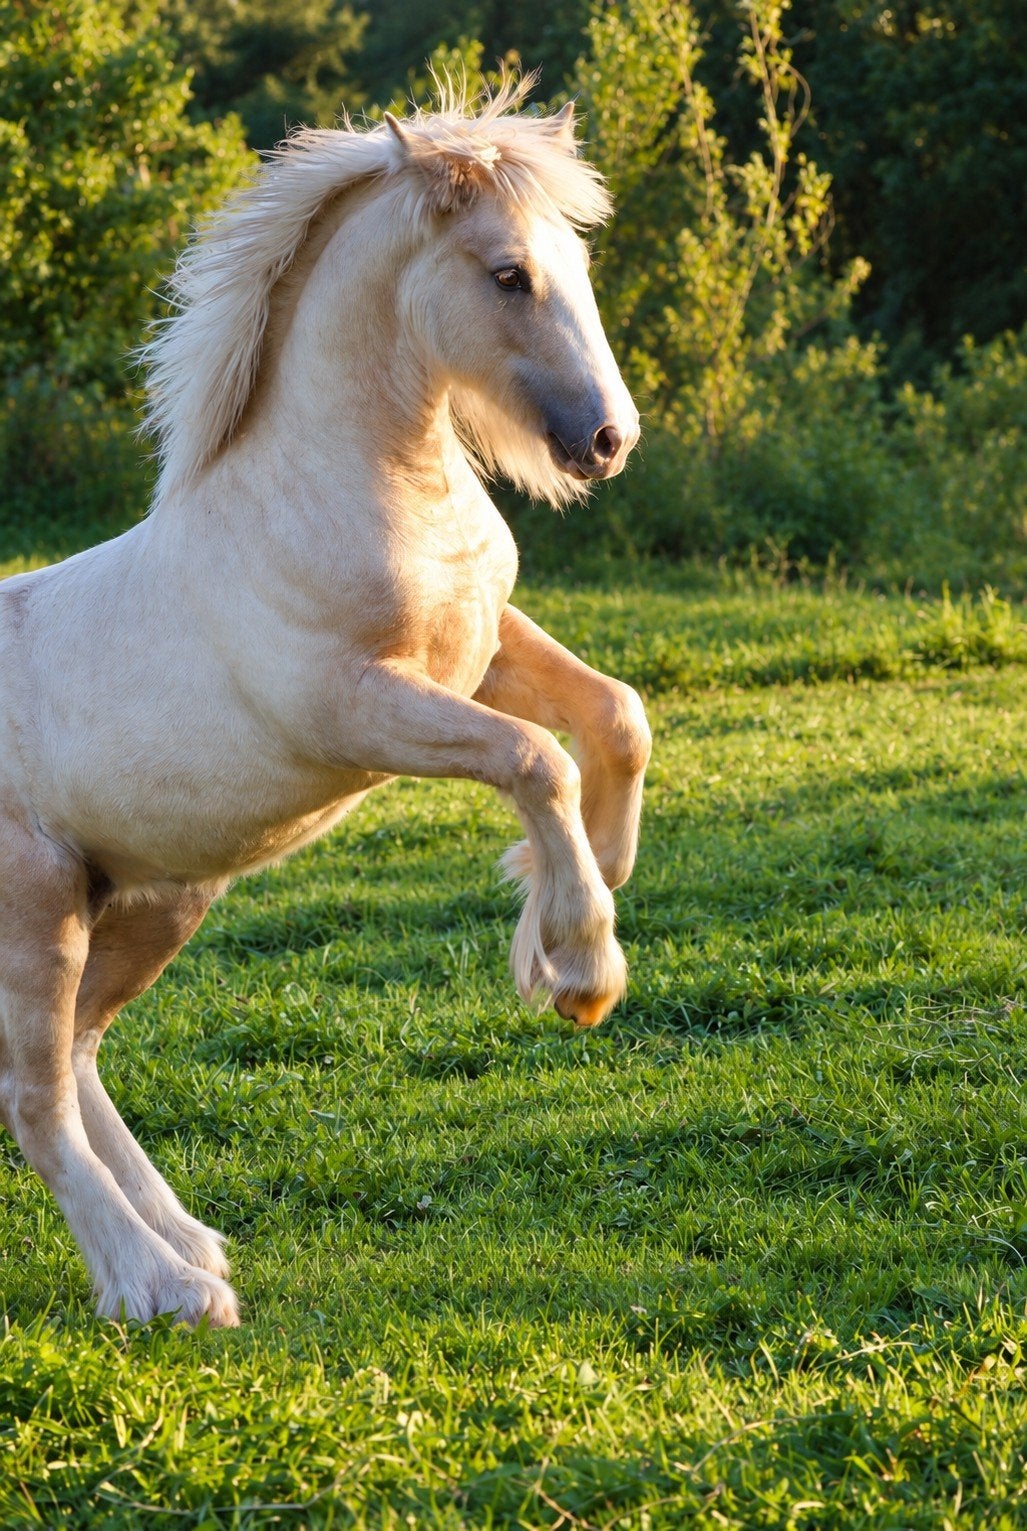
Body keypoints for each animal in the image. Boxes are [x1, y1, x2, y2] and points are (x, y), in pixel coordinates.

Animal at [0, 83, 650, 1327]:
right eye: (508, 274)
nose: (606, 441)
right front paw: (579, 967)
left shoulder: (475, 651)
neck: (363, 486)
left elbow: (613, 718)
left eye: (579, 263)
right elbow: (534, 757)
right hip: (38, 906)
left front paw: (548, 926)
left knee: (80, 1056)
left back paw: (193, 1243)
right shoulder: (353, 709)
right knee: (34, 1093)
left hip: (150, 901)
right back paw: (163, 1290)